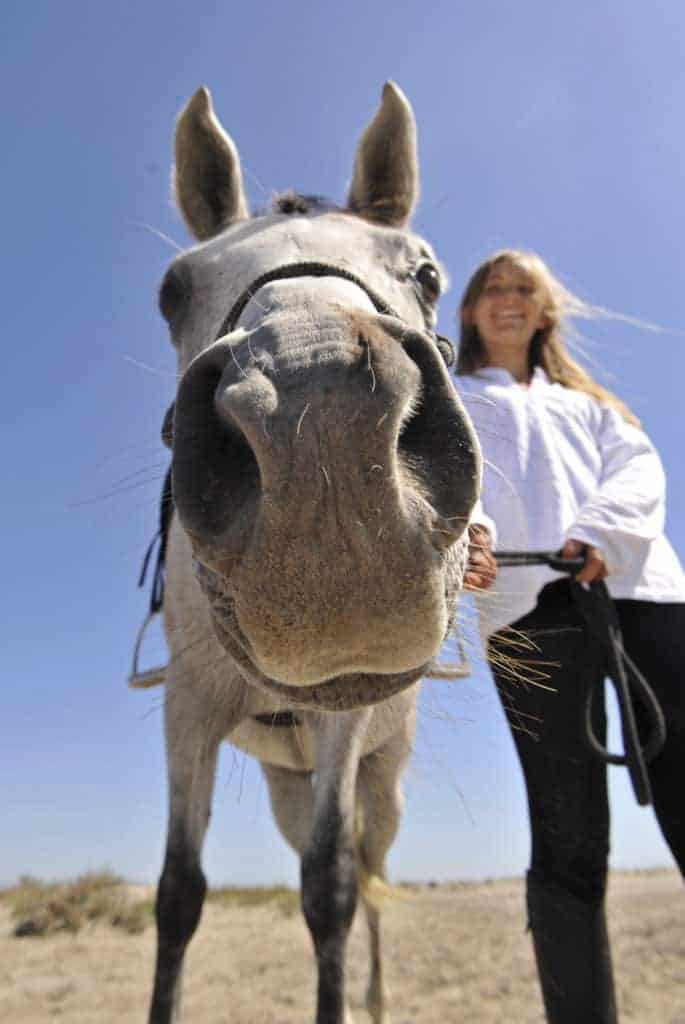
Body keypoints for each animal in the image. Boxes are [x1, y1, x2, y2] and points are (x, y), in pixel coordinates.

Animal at [145, 81, 481, 1024]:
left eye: (426, 273)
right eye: (171, 291)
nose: (316, 409)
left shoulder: (344, 717)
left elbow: (329, 892)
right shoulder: (187, 710)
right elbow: (178, 895)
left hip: (381, 784)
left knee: (368, 880)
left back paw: (374, 996)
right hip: (286, 786)